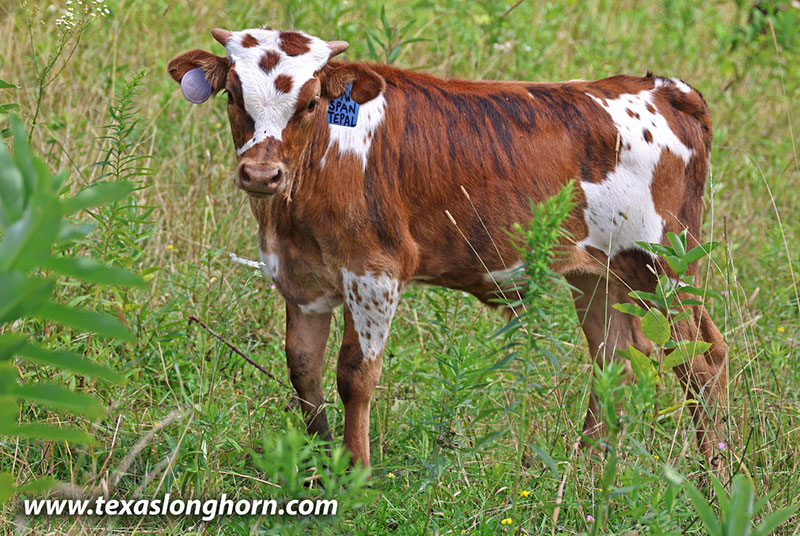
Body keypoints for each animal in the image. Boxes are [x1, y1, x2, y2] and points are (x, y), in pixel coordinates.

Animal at [168, 27, 728, 469]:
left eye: (309, 103)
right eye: (233, 96)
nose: (262, 173)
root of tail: (662, 88)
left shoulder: (374, 272)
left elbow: (355, 375)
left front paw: (356, 474)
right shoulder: (301, 279)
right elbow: (304, 372)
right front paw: (320, 469)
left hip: (668, 266)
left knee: (703, 362)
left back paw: (714, 479)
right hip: (599, 273)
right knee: (615, 359)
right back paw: (586, 473)